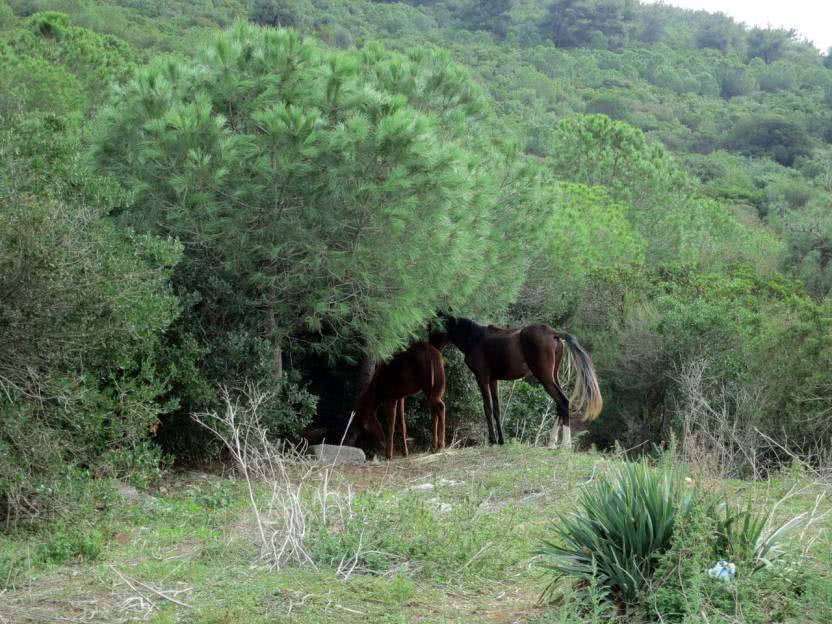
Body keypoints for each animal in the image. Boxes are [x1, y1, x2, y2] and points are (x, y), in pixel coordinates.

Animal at [436, 316, 604, 448]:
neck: (475, 338)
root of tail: (553, 333)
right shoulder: (493, 380)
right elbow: (496, 409)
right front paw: (501, 440)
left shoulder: (482, 378)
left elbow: (487, 408)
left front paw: (492, 440)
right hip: (553, 377)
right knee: (559, 404)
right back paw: (551, 443)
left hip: (545, 378)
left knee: (563, 401)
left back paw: (565, 445)